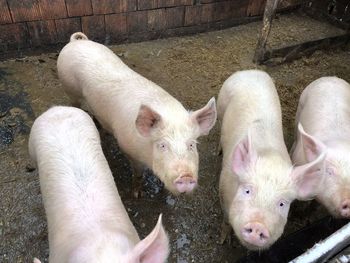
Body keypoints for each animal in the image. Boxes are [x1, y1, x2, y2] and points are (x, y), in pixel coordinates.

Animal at [56, 32, 217, 196]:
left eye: (191, 144)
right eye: (162, 145)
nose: (186, 177)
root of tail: (75, 42)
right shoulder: (130, 151)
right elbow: (138, 174)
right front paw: (137, 194)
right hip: (69, 87)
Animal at [217, 70, 326, 252]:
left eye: (282, 204)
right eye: (247, 190)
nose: (258, 225)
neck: (270, 158)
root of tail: (250, 71)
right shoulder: (223, 192)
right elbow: (225, 220)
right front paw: (224, 241)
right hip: (221, 103)